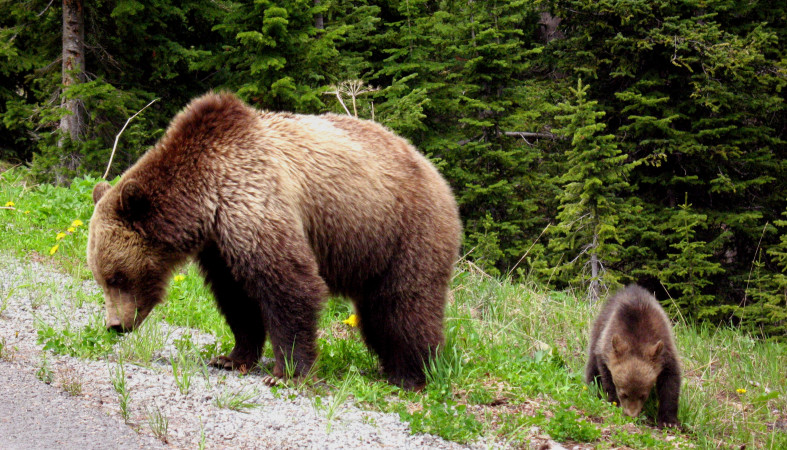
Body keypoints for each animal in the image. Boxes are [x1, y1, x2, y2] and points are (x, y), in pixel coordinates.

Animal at [87, 92, 462, 390]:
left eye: (116, 277)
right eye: (100, 278)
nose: (115, 326)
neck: (205, 199)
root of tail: (435, 172)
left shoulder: (253, 200)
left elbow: (288, 284)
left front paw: (286, 372)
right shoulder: (220, 245)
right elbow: (237, 297)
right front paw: (232, 357)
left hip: (407, 229)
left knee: (405, 303)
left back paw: (412, 374)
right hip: (375, 246)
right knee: (377, 310)